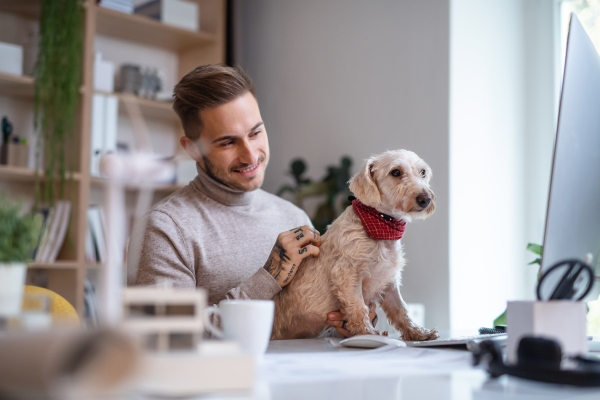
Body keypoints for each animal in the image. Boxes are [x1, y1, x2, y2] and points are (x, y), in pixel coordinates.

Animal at [274, 149, 440, 340]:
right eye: (396, 172)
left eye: (423, 172)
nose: (425, 199)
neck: (381, 227)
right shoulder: (347, 275)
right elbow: (358, 307)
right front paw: (366, 332)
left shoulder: (389, 281)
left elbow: (401, 309)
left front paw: (418, 332)